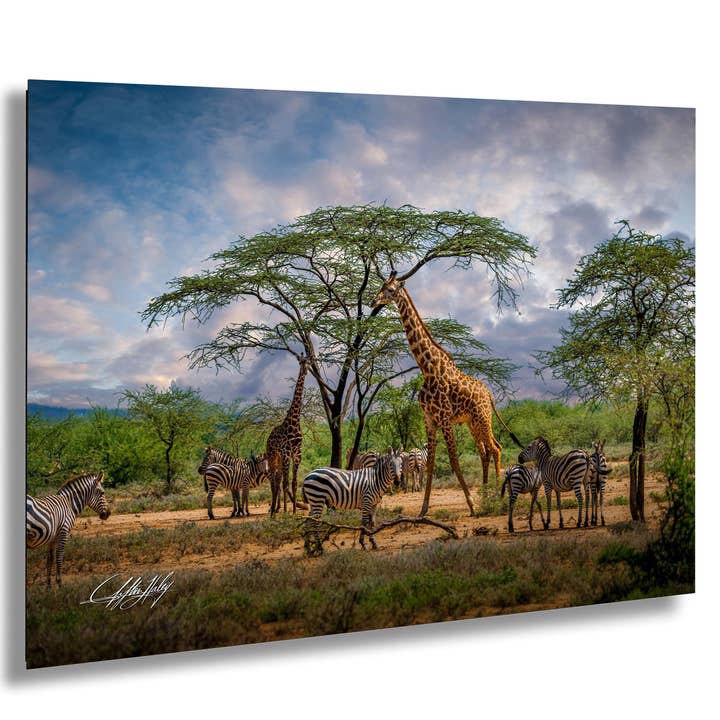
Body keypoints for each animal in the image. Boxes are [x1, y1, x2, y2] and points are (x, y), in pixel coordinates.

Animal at [265, 355, 309, 515]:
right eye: (300, 361)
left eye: (308, 362)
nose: (305, 370)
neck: (295, 422)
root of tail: (268, 438)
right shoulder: (286, 453)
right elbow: (285, 483)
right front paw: (285, 511)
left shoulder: (297, 454)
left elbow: (294, 483)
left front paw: (294, 510)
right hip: (272, 456)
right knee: (273, 480)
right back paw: (273, 509)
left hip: (278, 458)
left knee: (277, 479)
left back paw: (276, 508)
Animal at [371, 271, 522, 516]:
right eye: (381, 286)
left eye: (391, 290)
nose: (373, 302)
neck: (428, 368)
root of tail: (488, 394)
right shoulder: (429, 419)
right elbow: (431, 462)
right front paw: (423, 509)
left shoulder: (444, 418)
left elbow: (453, 460)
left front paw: (471, 504)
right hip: (472, 422)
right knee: (485, 451)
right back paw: (486, 494)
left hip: (483, 417)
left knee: (495, 448)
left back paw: (497, 498)